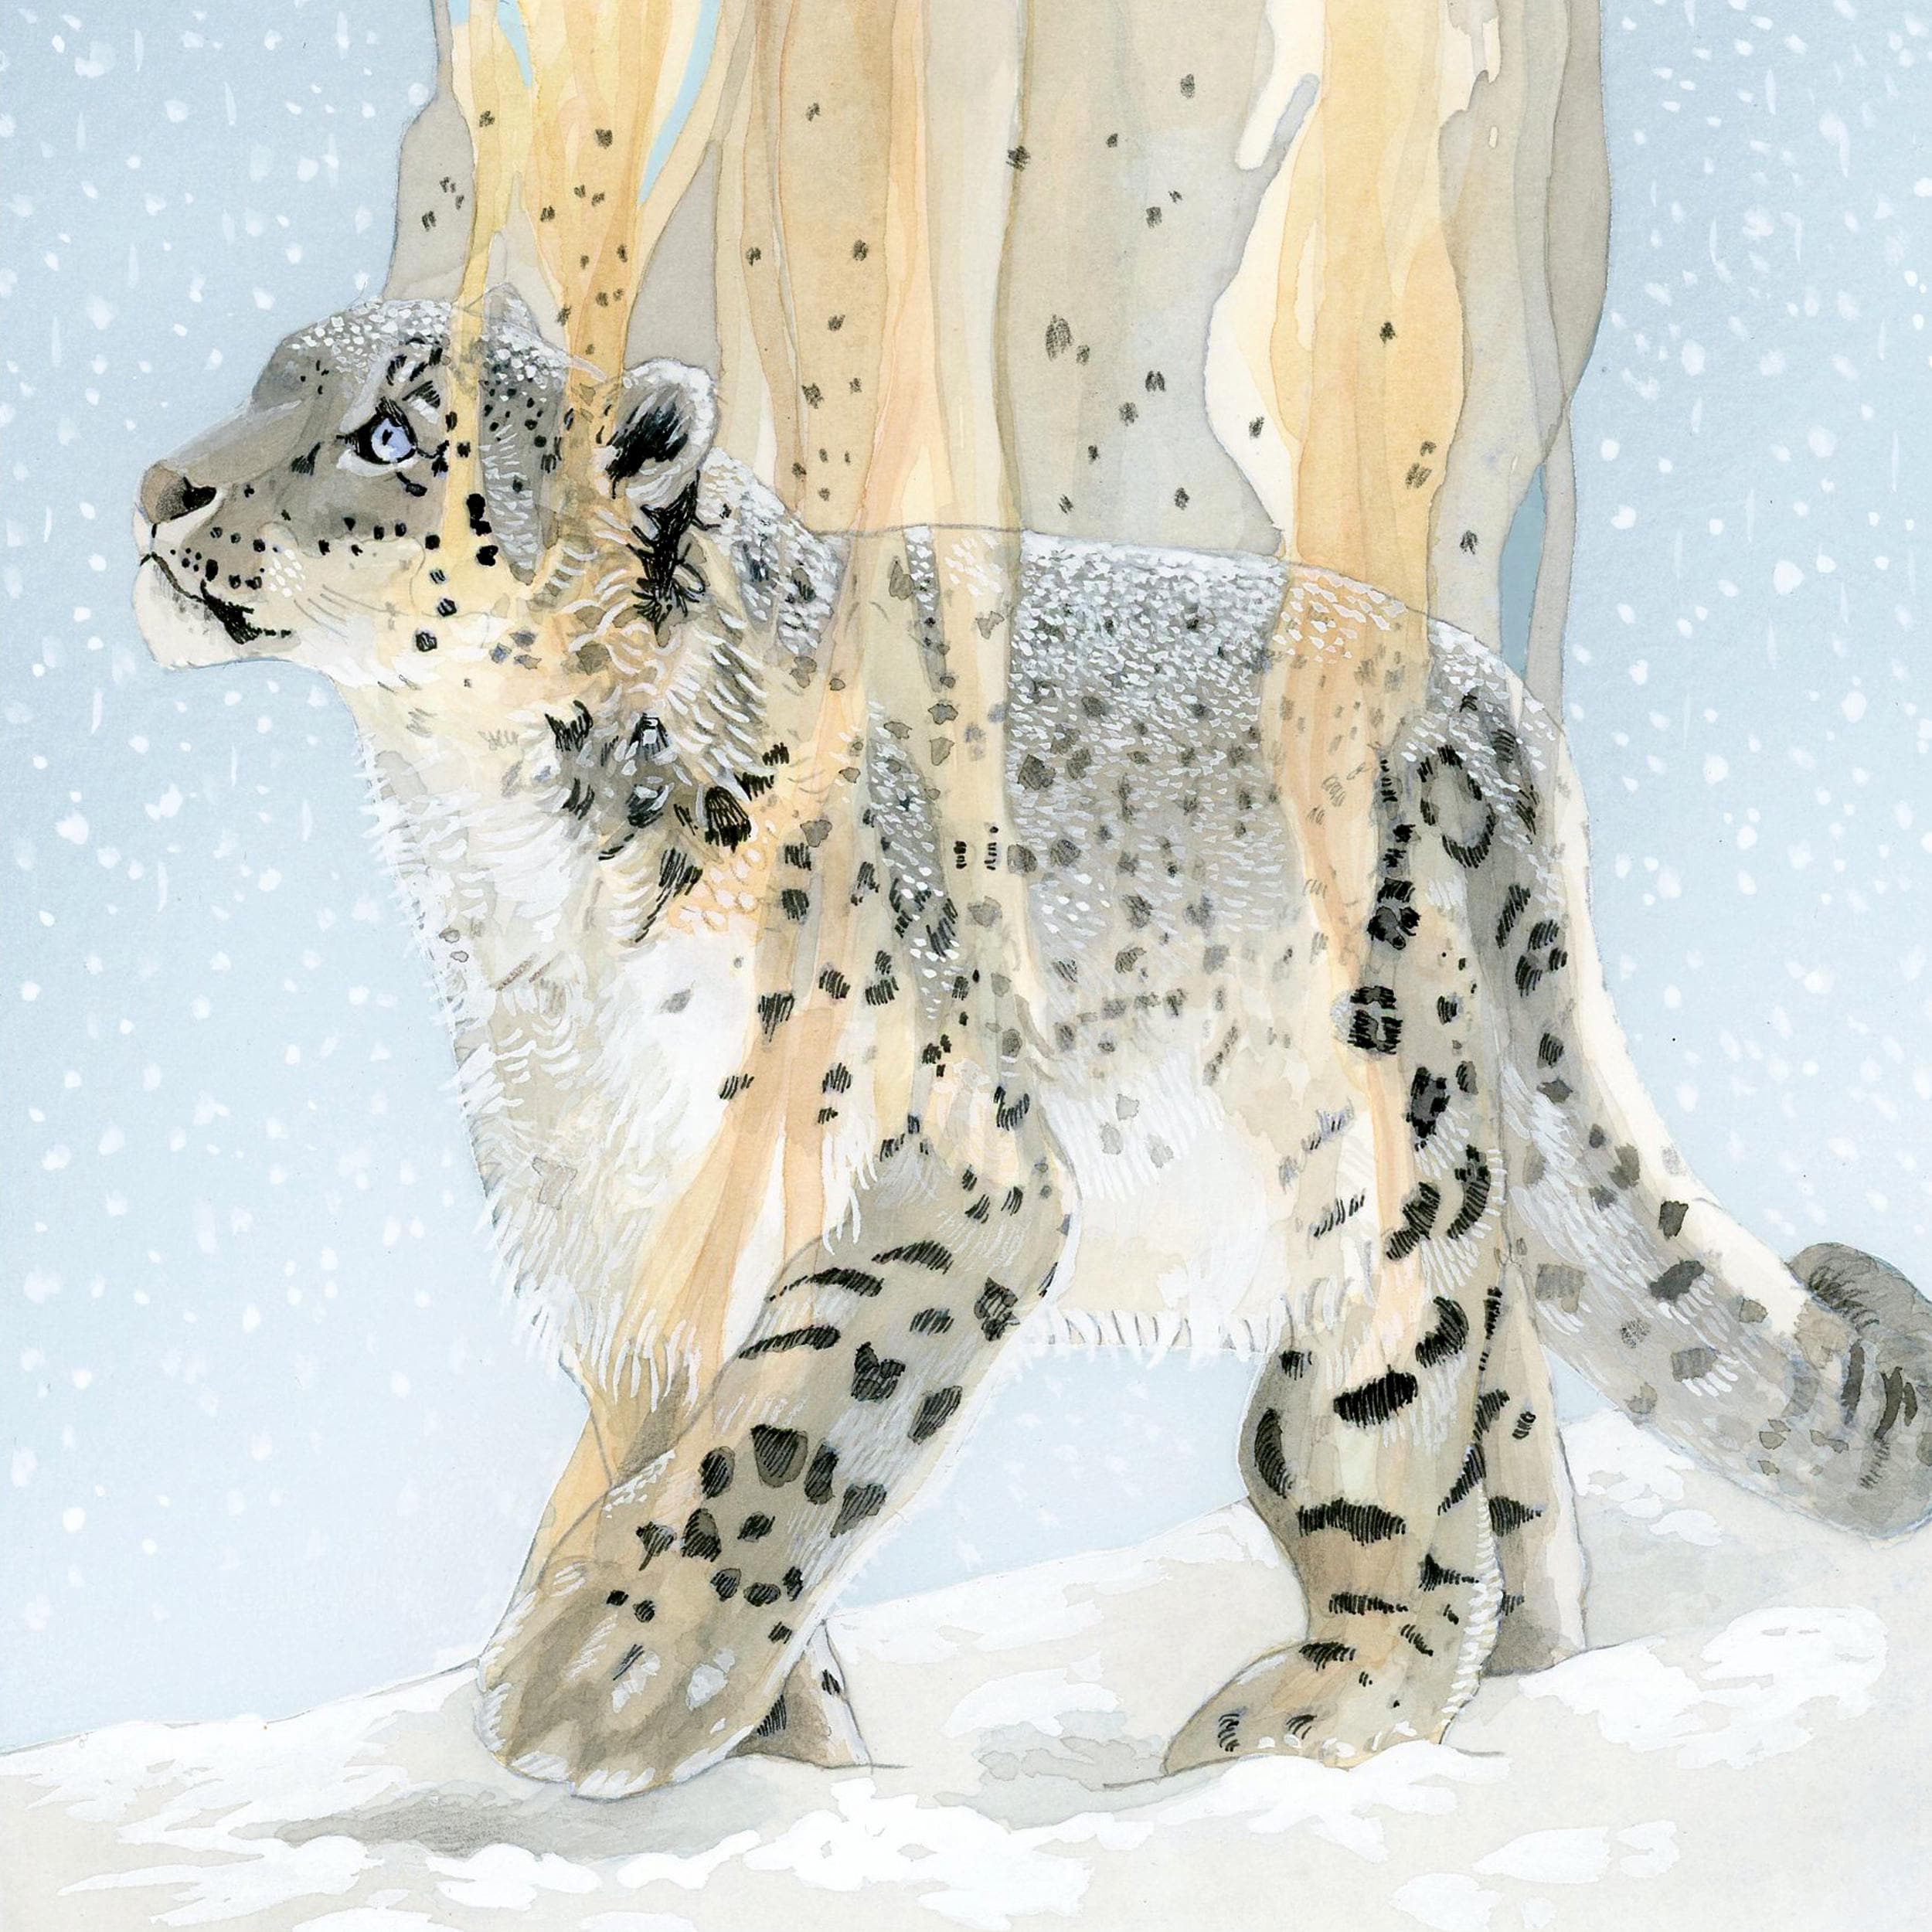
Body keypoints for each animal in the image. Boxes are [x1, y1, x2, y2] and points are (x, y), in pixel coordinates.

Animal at [132, 292, 1932, 1798]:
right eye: (268, 381)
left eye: (393, 436)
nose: (161, 488)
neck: (495, 862)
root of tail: (1477, 690)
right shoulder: (617, 1201)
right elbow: (667, 1423)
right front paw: (779, 1734)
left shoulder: (941, 1158)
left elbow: (790, 1420)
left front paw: (604, 1675)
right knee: (1513, 1406)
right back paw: (1539, 1657)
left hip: (1371, 1136)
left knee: (1387, 1427)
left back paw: (1323, 1705)